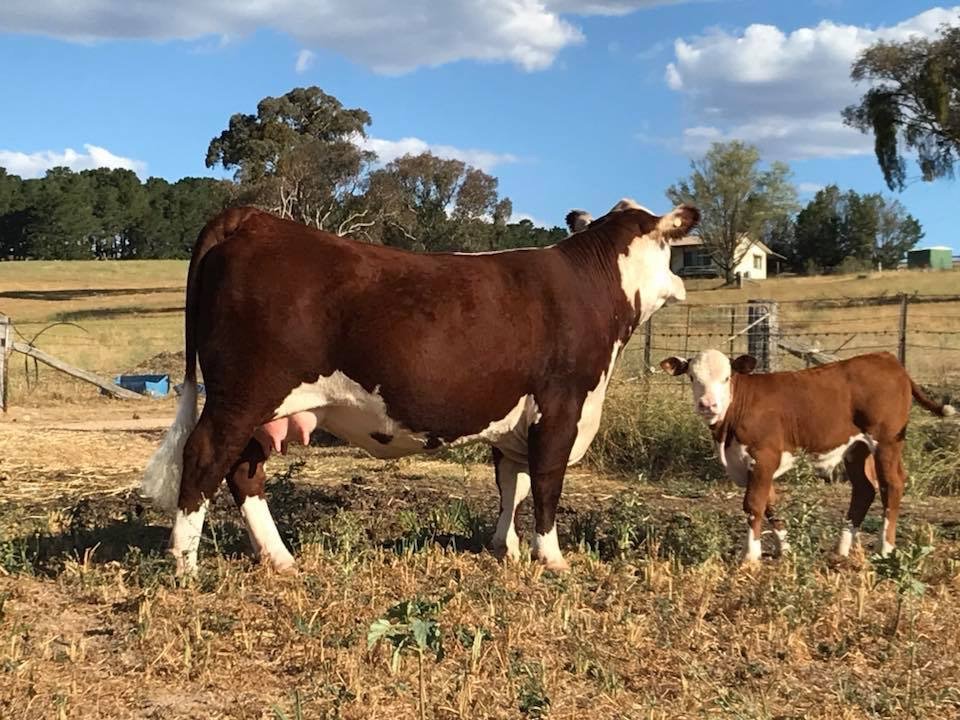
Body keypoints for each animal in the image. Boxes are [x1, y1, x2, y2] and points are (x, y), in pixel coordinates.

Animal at [142, 199, 699, 576]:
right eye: (669, 244)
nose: (684, 281)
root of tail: (253, 218)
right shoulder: (562, 408)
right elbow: (545, 486)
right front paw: (552, 558)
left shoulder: (514, 420)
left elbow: (511, 486)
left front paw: (506, 550)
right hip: (241, 395)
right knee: (205, 457)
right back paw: (186, 565)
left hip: (262, 407)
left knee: (244, 471)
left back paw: (280, 558)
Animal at [659, 349, 955, 563]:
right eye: (692, 378)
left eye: (726, 377)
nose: (708, 405)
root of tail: (886, 358)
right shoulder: (751, 464)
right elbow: (770, 504)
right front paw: (785, 549)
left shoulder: (764, 456)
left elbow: (754, 504)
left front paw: (750, 556)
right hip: (856, 448)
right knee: (863, 490)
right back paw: (841, 549)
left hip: (886, 442)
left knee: (891, 486)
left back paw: (885, 549)